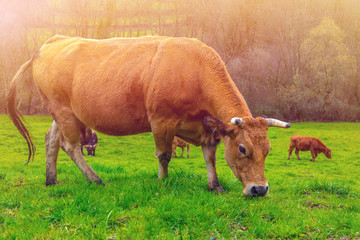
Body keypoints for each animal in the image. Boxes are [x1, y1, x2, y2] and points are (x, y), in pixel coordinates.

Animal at [7, 35, 292, 197]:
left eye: (267, 150)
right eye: (243, 149)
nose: (260, 189)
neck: (196, 70)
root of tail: (52, 41)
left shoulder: (208, 126)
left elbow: (210, 155)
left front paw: (215, 186)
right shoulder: (161, 120)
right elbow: (164, 155)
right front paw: (163, 182)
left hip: (61, 111)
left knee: (51, 140)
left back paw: (51, 180)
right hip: (64, 111)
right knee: (70, 145)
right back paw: (95, 179)